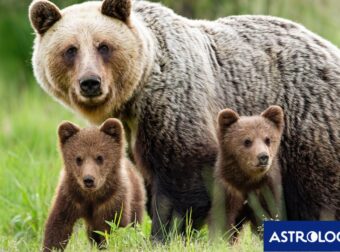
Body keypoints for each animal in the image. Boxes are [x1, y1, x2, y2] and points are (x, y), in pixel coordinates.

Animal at [29, 0, 340, 240]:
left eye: (103, 46)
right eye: (70, 49)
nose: (90, 83)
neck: (135, 95)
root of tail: (329, 48)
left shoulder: (175, 104)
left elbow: (183, 174)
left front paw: (163, 234)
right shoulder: (134, 131)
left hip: (306, 124)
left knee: (318, 190)